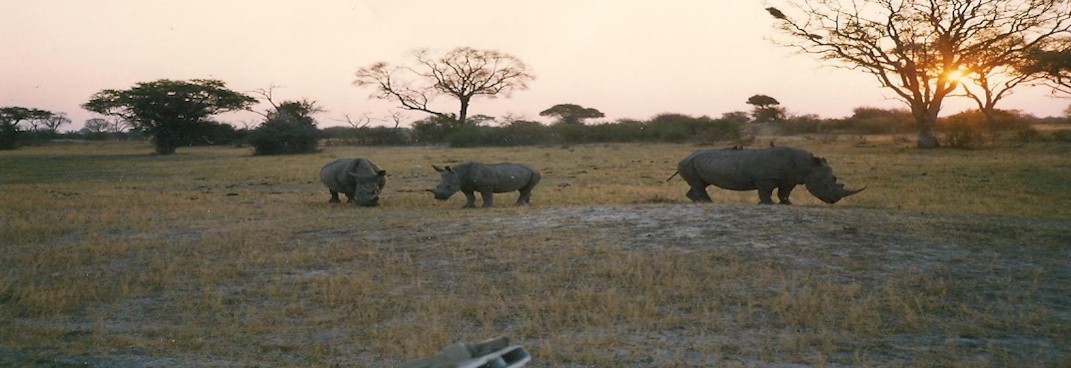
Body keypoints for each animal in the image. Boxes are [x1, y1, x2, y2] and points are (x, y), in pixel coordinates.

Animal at [672, 145, 865, 204]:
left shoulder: (790, 179)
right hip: (688, 163)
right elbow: (766, 192)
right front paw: (767, 204)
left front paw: (787, 204)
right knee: (699, 184)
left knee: (700, 184)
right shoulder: (765, 179)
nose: (833, 201)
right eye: (825, 184)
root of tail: (684, 157)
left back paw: (700, 202)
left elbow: (784, 192)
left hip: (695, 163)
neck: (808, 165)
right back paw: (708, 203)